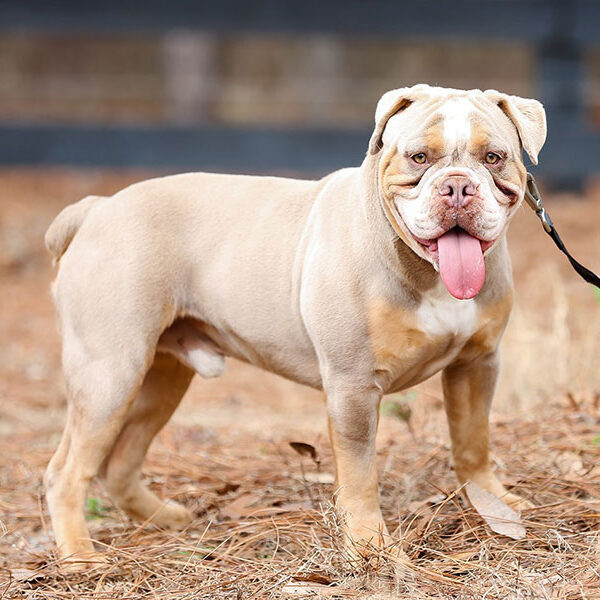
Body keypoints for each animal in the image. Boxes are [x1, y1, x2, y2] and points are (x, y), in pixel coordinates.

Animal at [44, 85, 548, 568]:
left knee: (120, 461)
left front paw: (492, 503)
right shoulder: (353, 386)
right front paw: (370, 548)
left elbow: (472, 440)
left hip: (162, 377)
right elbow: (360, 474)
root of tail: (97, 208)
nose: (458, 187)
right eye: (419, 157)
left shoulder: (477, 364)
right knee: (66, 471)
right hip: (111, 373)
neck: (426, 270)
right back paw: (80, 557)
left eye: (494, 157)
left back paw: (163, 518)